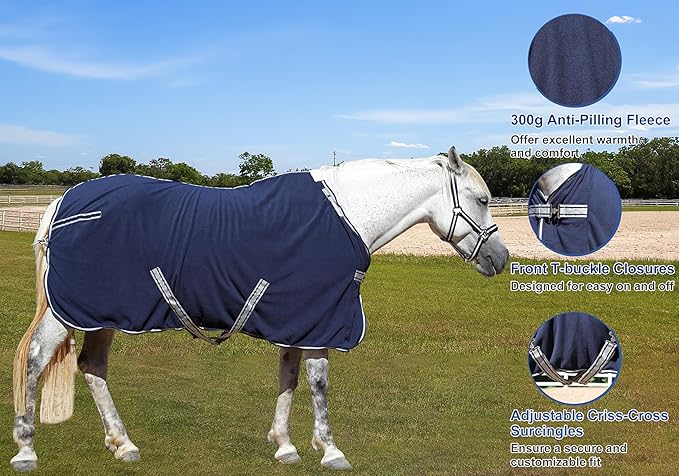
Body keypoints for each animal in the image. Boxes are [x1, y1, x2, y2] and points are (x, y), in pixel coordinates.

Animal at [10, 146, 508, 472]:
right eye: (482, 199)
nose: (501, 259)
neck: (347, 215)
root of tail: (62, 203)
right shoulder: (320, 321)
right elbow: (318, 384)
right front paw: (331, 451)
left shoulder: (298, 320)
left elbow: (289, 379)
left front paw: (285, 446)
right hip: (67, 314)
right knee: (35, 361)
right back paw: (27, 449)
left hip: (102, 315)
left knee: (92, 366)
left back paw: (123, 444)